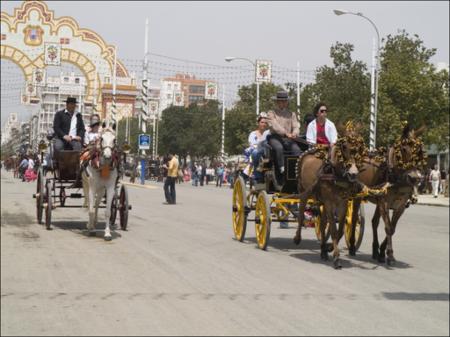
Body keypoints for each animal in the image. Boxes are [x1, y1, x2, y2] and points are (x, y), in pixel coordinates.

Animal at [296, 121, 366, 268]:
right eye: (344, 146)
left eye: (360, 147)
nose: (353, 173)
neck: (335, 173)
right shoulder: (329, 202)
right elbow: (333, 229)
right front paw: (336, 257)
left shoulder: (342, 202)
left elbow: (340, 230)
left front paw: (329, 248)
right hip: (303, 191)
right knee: (301, 213)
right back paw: (297, 237)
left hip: (321, 201)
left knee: (322, 222)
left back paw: (323, 250)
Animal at [346, 122, 428, 264]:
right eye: (404, 149)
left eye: (419, 151)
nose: (414, 178)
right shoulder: (384, 202)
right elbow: (388, 227)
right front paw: (389, 254)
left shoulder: (400, 205)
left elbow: (392, 228)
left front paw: (382, 253)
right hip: (357, 196)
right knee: (355, 219)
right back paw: (352, 246)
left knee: (374, 222)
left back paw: (375, 250)